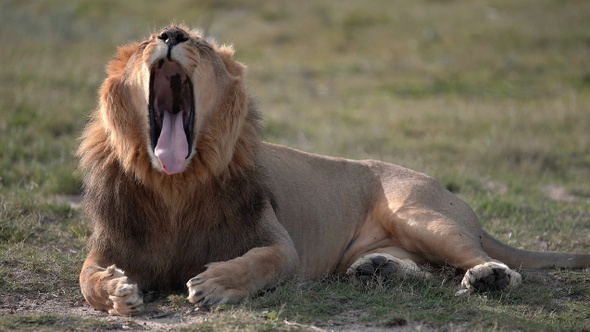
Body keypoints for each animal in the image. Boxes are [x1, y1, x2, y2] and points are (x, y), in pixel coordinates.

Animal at [80, 24, 590, 316]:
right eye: (148, 40)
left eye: (199, 44)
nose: (170, 35)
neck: (175, 185)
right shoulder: (109, 245)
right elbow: (87, 281)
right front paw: (119, 293)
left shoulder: (279, 244)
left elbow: (261, 262)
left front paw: (213, 285)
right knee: (428, 271)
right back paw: (378, 269)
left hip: (419, 216)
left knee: (484, 262)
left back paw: (488, 277)